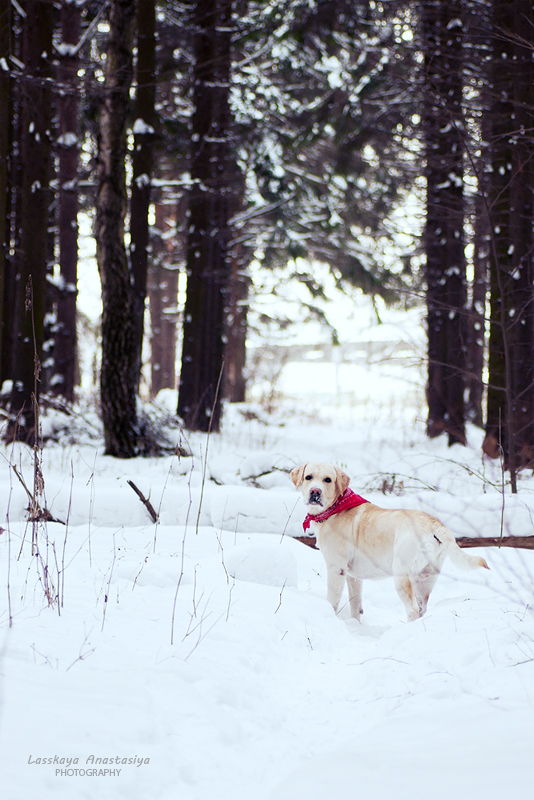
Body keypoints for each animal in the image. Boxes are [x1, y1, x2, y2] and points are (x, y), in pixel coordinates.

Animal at [294, 460, 490, 620]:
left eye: (327, 479)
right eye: (308, 477)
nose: (315, 492)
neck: (334, 508)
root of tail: (434, 523)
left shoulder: (337, 569)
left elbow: (332, 602)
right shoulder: (353, 577)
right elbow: (355, 606)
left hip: (402, 574)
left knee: (412, 610)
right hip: (425, 578)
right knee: (421, 609)